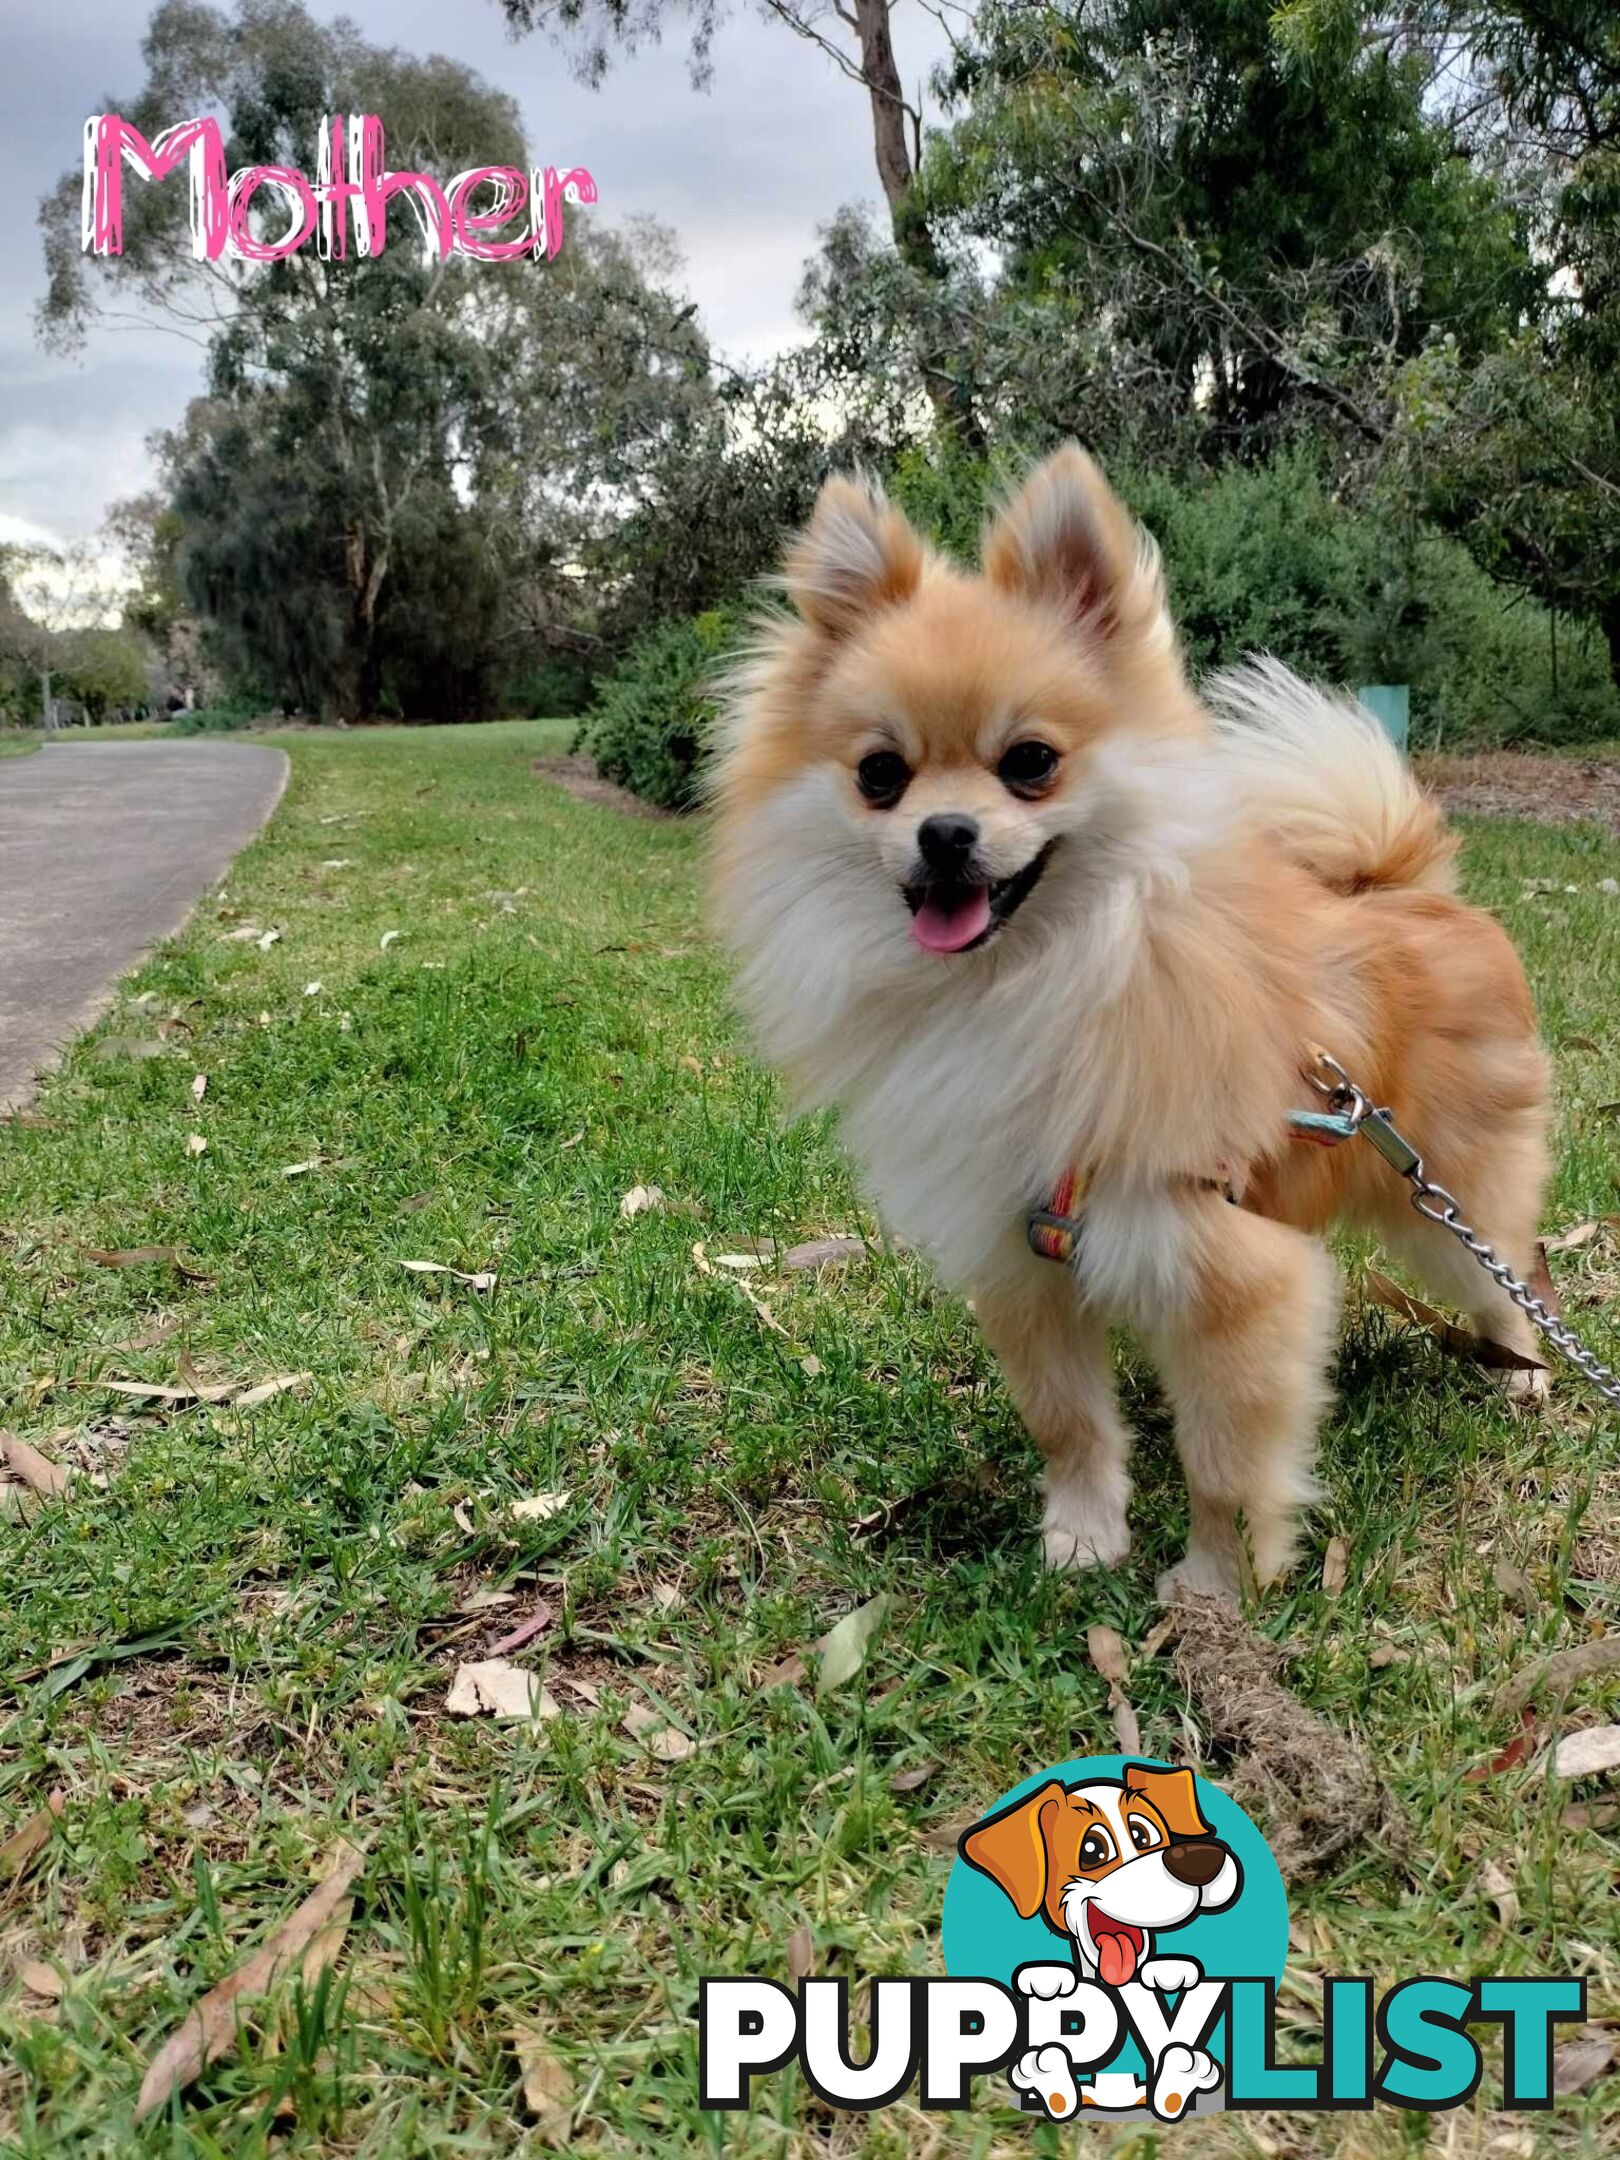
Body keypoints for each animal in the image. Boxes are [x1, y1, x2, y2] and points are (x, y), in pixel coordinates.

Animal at [717, 447, 1555, 1598]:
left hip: (1449, 1194)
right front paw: (1082, 1535)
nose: (943, 832)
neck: (1037, 983)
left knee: (1512, 1264)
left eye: (1030, 761)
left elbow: (1227, 1464)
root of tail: (1411, 891)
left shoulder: (1233, 1276)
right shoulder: (1021, 1259)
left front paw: (1213, 1590)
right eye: (879, 776)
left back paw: (1523, 1368)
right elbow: (1068, 1422)